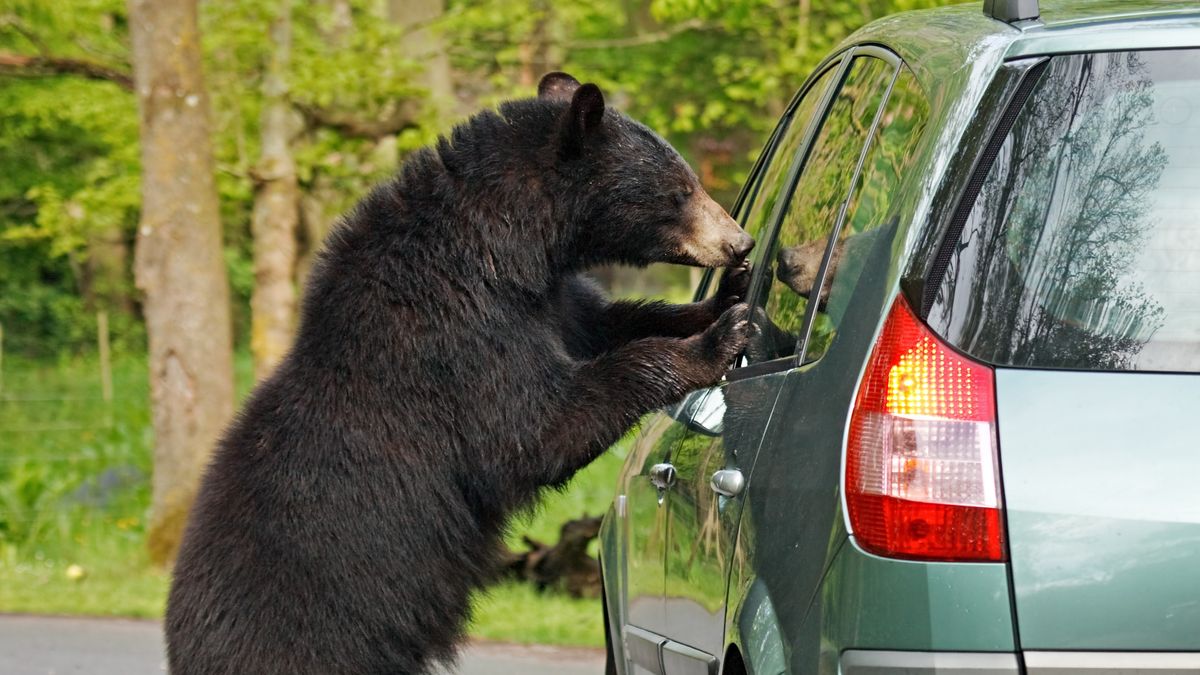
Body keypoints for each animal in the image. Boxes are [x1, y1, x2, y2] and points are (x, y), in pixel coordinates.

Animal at [166, 73, 748, 672]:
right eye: (680, 190)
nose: (740, 241)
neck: (504, 247)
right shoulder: (454, 333)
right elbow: (534, 430)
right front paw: (715, 342)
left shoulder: (552, 301)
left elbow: (608, 321)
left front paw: (724, 300)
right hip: (309, 637)